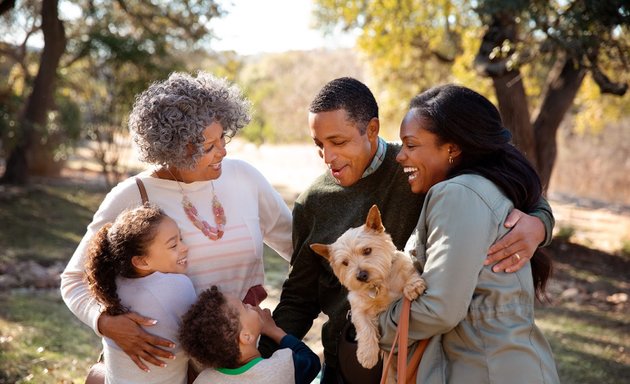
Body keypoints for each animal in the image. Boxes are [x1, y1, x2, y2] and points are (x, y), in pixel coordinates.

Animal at [310, 207, 428, 372]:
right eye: (345, 263)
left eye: (367, 250)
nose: (361, 275)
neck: (378, 284)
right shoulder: (358, 309)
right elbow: (364, 327)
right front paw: (367, 355)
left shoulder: (402, 266)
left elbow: (409, 271)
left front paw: (413, 286)